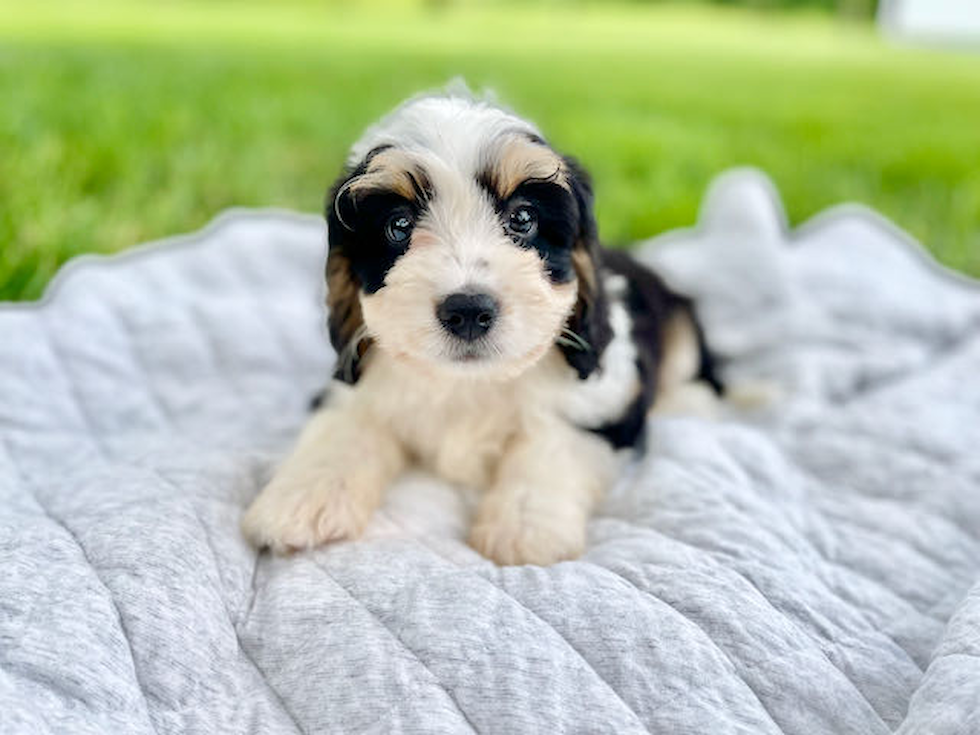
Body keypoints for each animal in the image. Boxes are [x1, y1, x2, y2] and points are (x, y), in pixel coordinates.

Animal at [242, 89, 724, 568]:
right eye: (398, 226)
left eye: (523, 219)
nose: (468, 311)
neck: (470, 383)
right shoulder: (356, 383)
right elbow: (347, 426)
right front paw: (299, 500)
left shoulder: (601, 398)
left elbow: (550, 445)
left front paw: (524, 527)